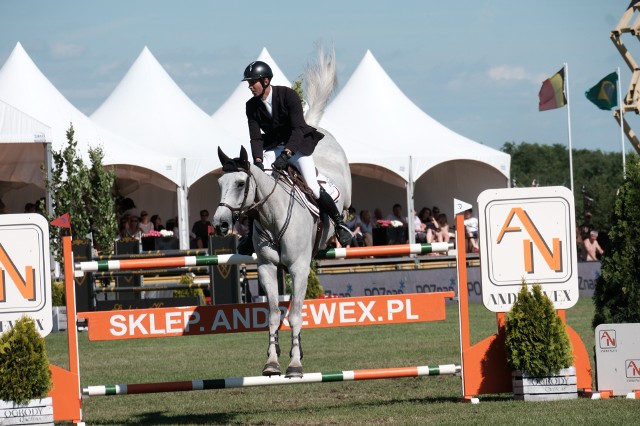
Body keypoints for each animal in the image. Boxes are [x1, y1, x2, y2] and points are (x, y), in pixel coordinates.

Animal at [212, 48, 352, 378]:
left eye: (240, 183)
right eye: (220, 184)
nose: (220, 224)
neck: (272, 217)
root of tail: (318, 129)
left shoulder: (299, 268)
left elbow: (296, 315)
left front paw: (296, 365)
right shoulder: (266, 267)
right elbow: (275, 315)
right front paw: (272, 363)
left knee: (336, 202)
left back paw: (341, 230)